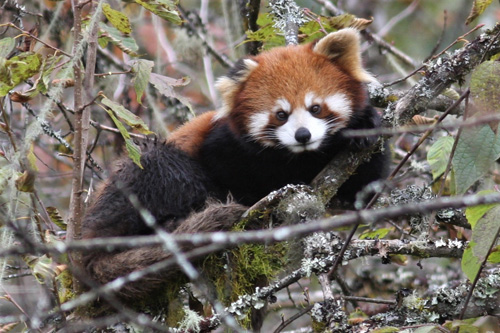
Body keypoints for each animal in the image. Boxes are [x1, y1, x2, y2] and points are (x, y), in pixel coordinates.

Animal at [80, 28, 388, 296]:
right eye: (281, 115)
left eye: (316, 108)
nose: (303, 135)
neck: (299, 158)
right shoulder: (224, 146)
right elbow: (230, 177)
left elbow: (362, 188)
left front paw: (364, 124)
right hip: (142, 177)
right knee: (162, 166)